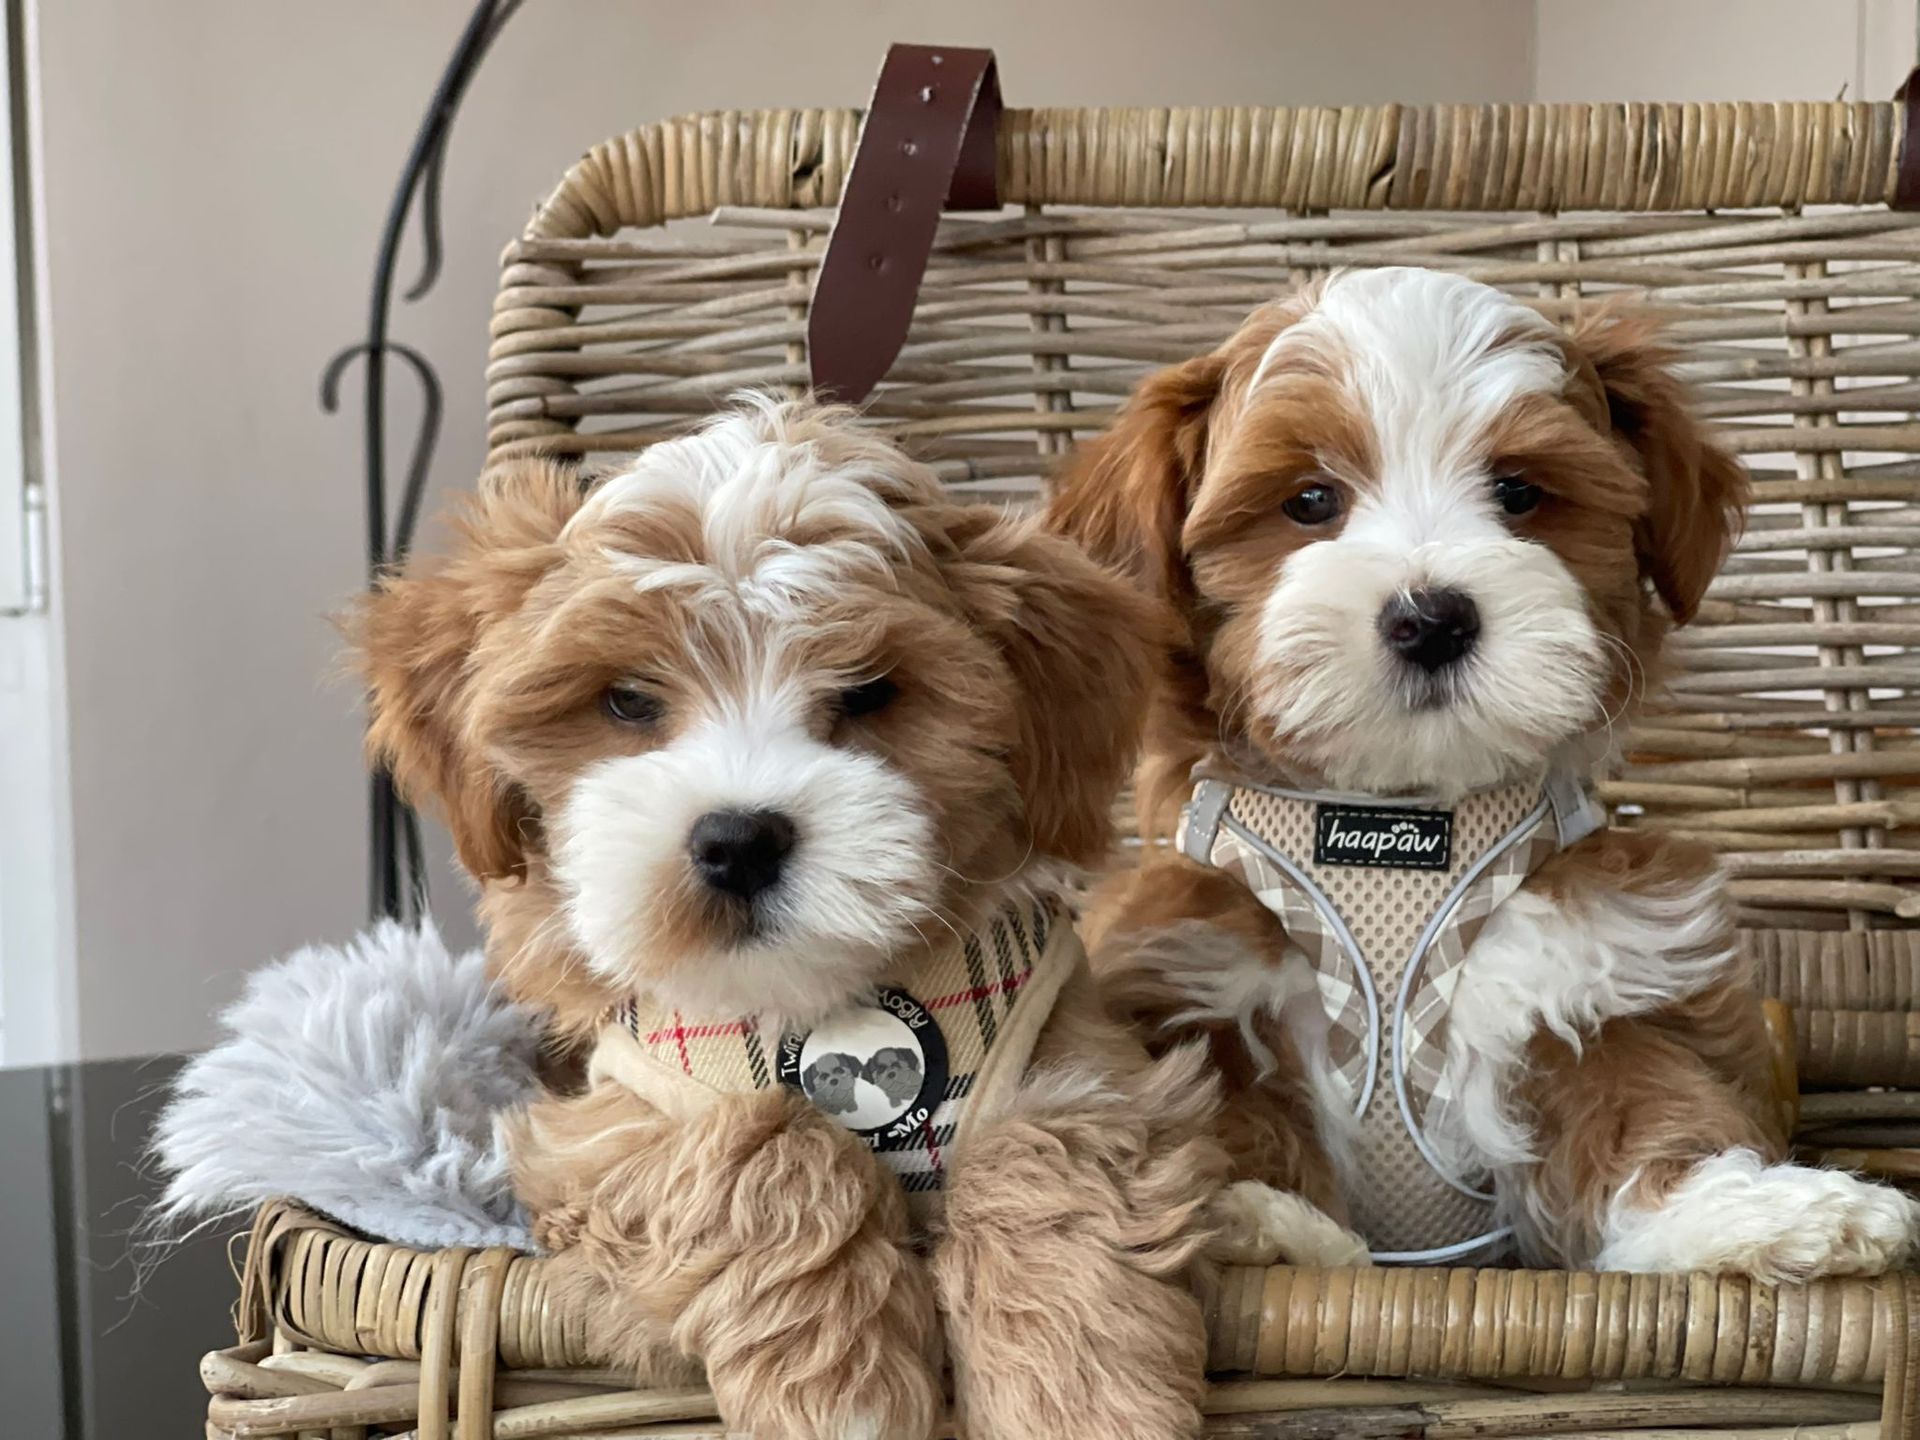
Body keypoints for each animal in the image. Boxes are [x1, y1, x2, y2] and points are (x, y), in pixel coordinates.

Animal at [356, 397, 1225, 1440]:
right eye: (628, 699)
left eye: (868, 691)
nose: (738, 841)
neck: (812, 996)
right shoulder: (601, 1130)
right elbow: (757, 1141)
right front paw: (844, 1391)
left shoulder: (1082, 1063)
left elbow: (1051, 1156)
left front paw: (1079, 1395)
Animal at [1047, 266, 1920, 1281]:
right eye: (1309, 502)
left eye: (1519, 491)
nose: (1431, 617)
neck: (1401, 816)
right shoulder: (1197, 978)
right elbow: (1225, 1111)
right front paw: (1258, 1218)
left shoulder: (1597, 966)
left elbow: (1649, 1101)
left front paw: (1758, 1213)